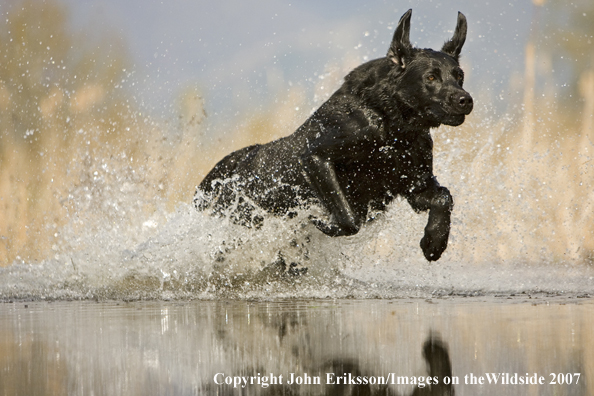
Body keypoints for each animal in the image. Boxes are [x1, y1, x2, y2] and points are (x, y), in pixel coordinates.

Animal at [194, 9, 472, 262]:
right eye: (431, 77)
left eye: (459, 76)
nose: (465, 100)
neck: (391, 127)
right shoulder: (316, 157)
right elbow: (349, 218)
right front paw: (324, 223)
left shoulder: (414, 183)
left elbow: (444, 197)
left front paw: (434, 242)